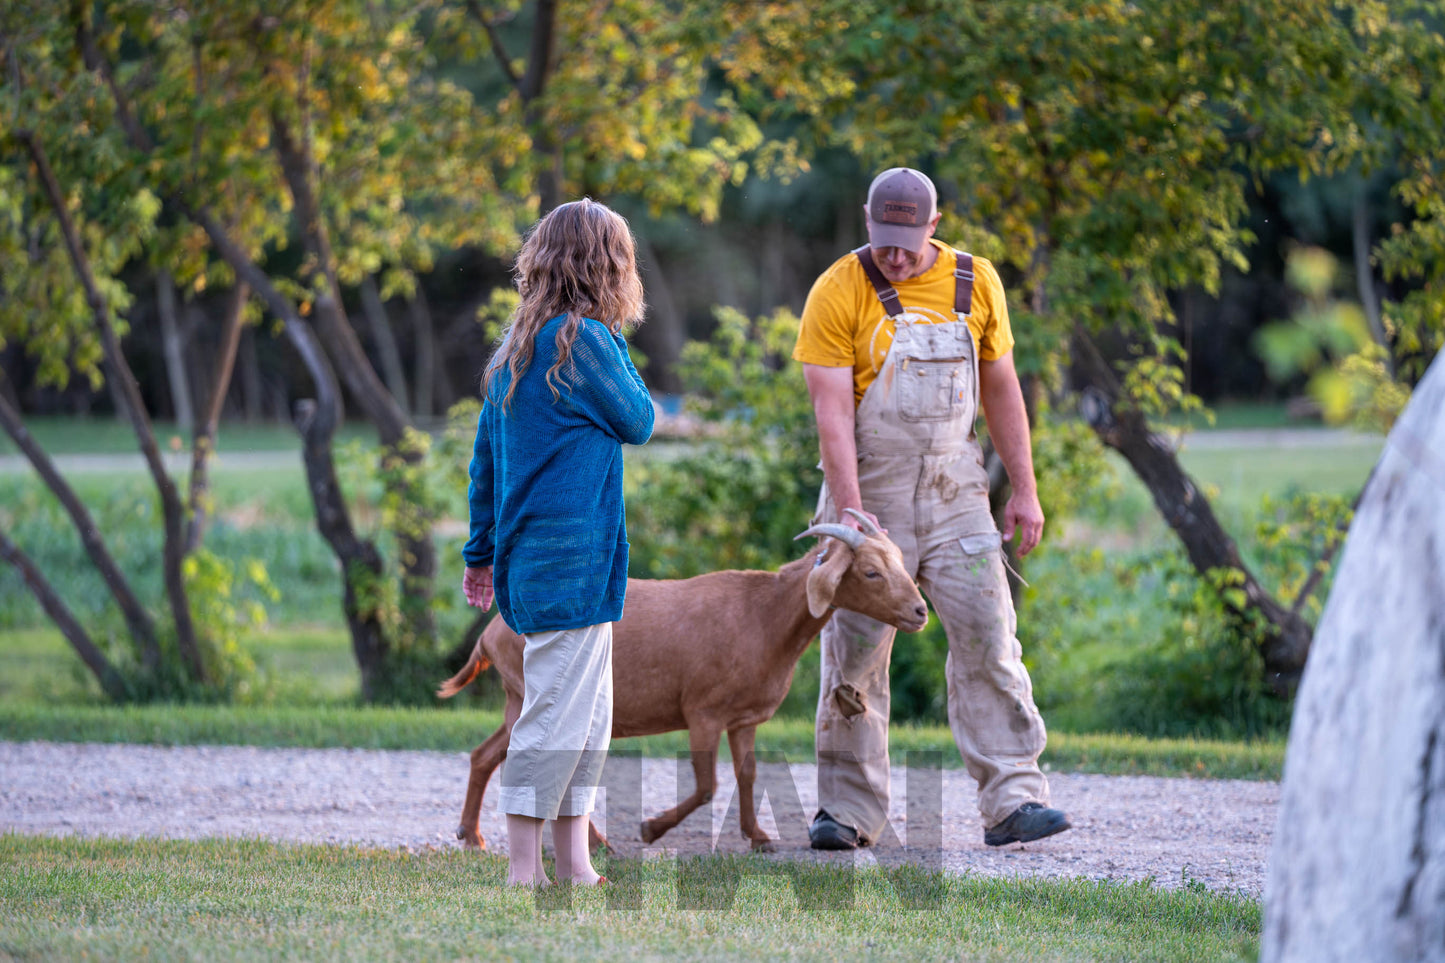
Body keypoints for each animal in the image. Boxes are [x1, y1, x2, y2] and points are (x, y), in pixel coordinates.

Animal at [433, 514, 924, 850]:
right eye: (870, 572)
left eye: (899, 563)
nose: (920, 612)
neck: (763, 617)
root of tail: (490, 634)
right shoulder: (703, 711)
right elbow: (707, 786)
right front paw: (651, 828)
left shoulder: (743, 719)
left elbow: (747, 773)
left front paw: (758, 836)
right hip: (539, 692)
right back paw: (589, 843)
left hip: (518, 699)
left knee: (484, 755)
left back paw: (473, 834)